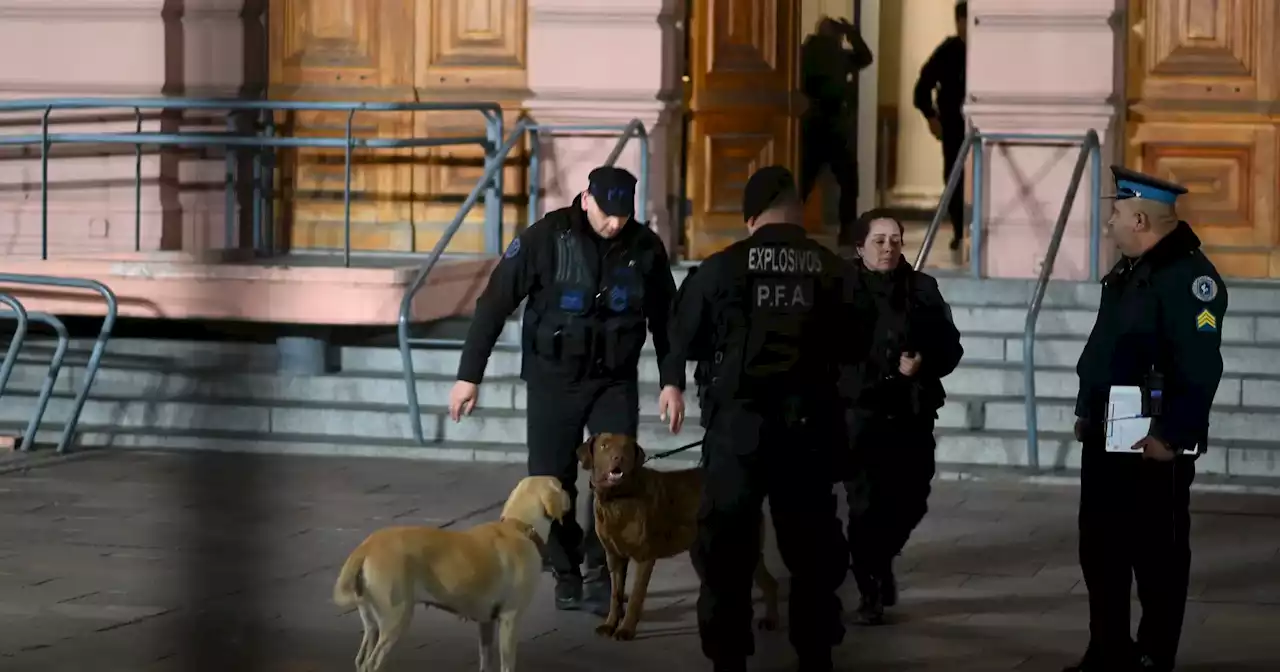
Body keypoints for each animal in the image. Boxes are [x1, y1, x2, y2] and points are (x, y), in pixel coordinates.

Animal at [335, 473, 570, 665]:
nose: (570, 494)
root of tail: (367, 546)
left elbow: (486, 660)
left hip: (371, 621)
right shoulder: (509, 618)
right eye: (560, 485)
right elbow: (507, 664)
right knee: (371, 663)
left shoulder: (486, 622)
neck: (518, 527)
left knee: (361, 659)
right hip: (395, 618)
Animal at [578, 432, 778, 642]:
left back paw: (770, 620)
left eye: (625, 447)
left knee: (769, 583)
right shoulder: (614, 557)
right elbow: (615, 596)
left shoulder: (644, 558)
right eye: (604, 446)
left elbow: (635, 597)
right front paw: (610, 625)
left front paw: (626, 630)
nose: (618, 458)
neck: (618, 498)